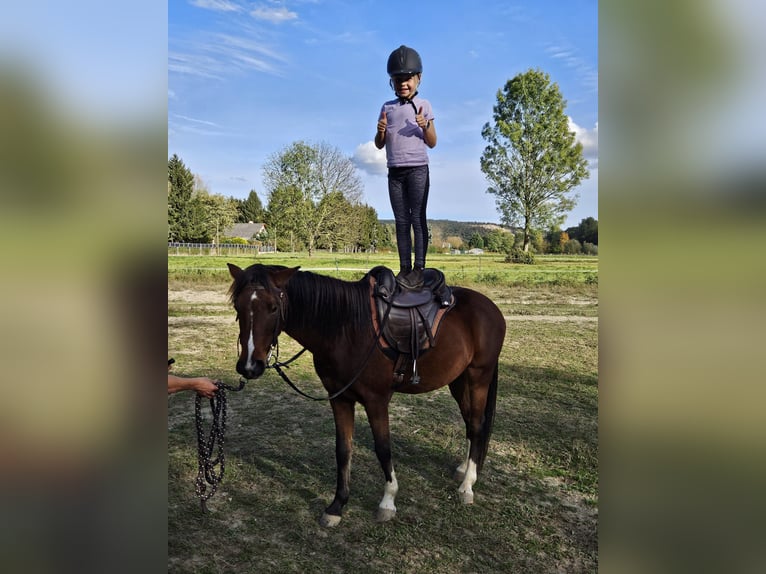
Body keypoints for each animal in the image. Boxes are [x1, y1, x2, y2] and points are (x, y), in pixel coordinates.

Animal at [227, 263, 506, 527]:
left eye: (273, 307)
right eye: (237, 307)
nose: (249, 366)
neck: (345, 328)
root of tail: (490, 307)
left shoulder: (376, 400)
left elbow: (383, 448)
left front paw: (387, 503)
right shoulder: (339, 397)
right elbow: (343, 449)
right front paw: (337, 506)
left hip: (478, 377)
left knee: (477, 425)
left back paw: (467, 486)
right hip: (458, 380)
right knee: (470, 423)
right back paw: (464, 469)